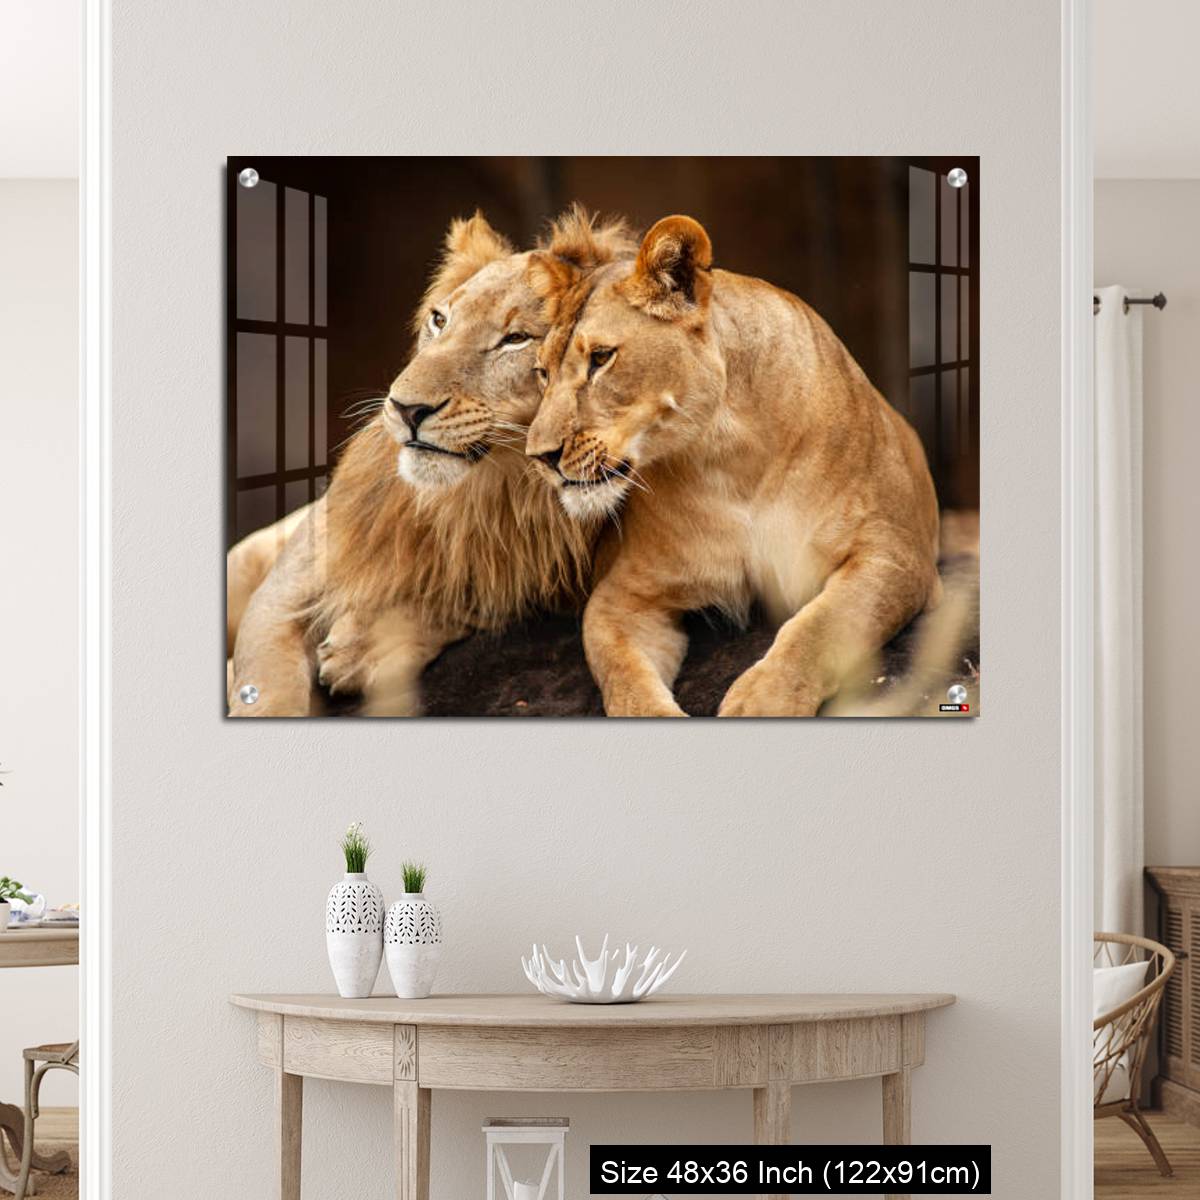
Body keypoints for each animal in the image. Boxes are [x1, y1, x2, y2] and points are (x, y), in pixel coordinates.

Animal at [227, 207, 633, 717]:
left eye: (516, 339)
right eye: (440, 320)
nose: (406, 408)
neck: (489, 490)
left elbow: (472, 597)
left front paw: (363, 647)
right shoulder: (282, 592)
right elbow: (267, 692)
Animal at [524, 214, 942, 717]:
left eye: (602, 358)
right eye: (542, 373)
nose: (539, 456)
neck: (729, 455)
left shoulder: (896, 552)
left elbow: (821, 626)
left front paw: (762, 701)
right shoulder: (623, 596)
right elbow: (624, 677)